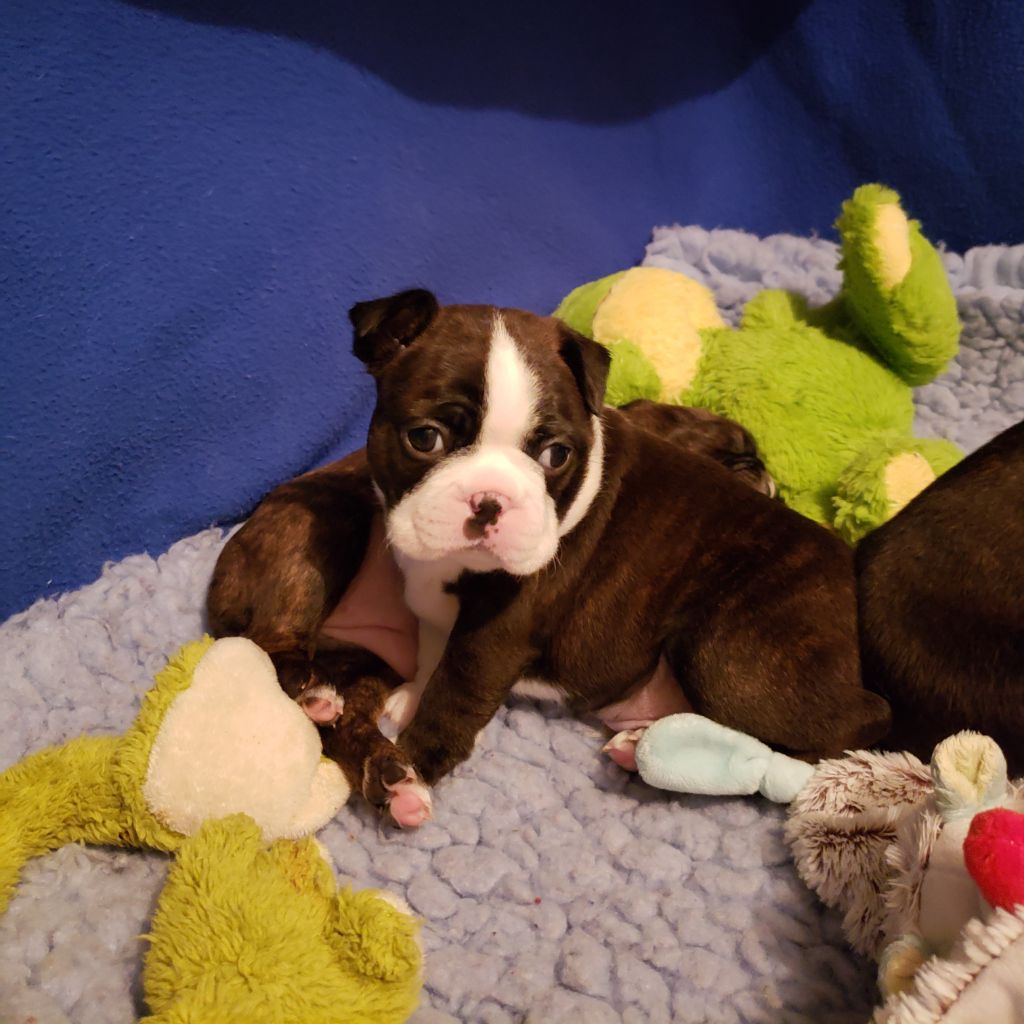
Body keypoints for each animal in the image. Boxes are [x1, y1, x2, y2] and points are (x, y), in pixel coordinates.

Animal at [208, 289, 889, 816]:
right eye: (425, 439)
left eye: (555, 454)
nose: (489, 502)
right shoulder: (431, 601)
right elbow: (433, 653)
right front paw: (411, 706)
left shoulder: (497, 627)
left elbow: (457, 686)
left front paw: (419, 762)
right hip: (318, 534)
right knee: (277, 644)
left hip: (731, 657)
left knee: (855, 726)